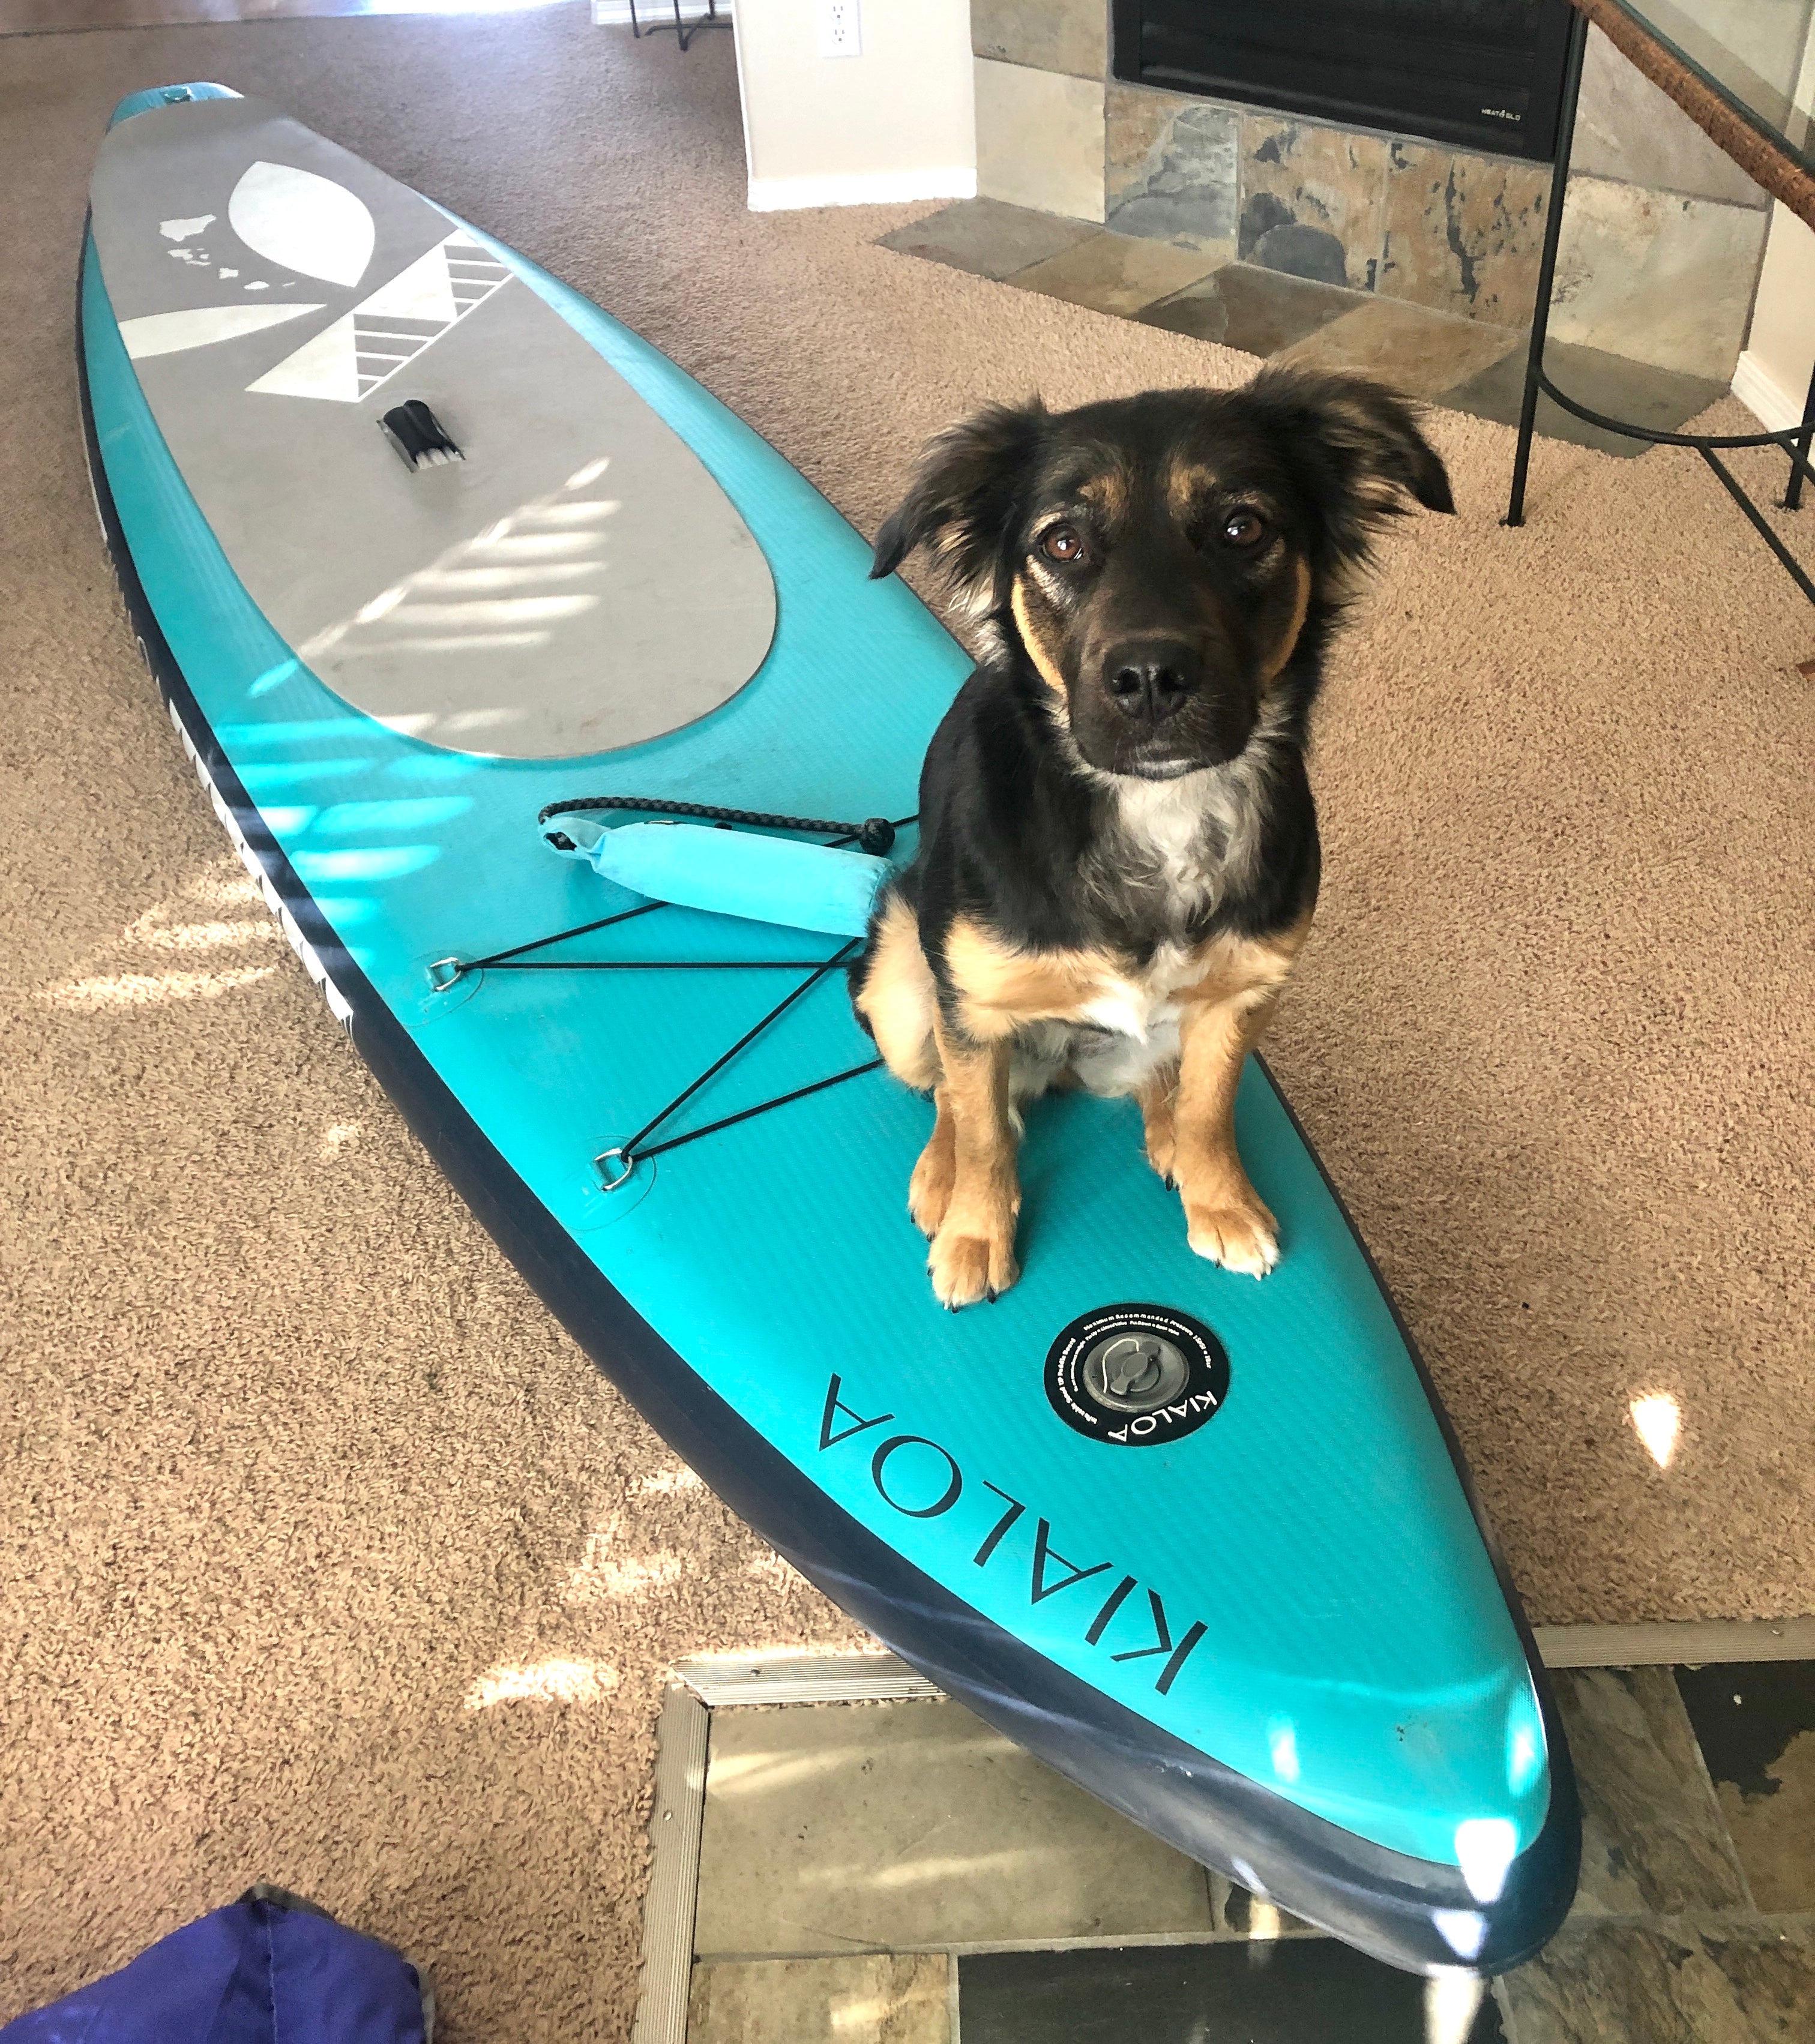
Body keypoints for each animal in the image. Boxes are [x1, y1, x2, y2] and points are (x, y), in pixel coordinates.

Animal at [842, 368, 1455, 1308]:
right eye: (1062, 543)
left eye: (1244, 527)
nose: (1152, 679)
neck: (1156, 809)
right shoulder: (971, 1004)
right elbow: (983, 1124)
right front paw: (976, 1230)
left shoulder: (1246, 993)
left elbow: (1210, 1105)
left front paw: (1220, 1198)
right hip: (903, 986)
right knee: (946, 1087)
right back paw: (940, 1173)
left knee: (1160, 1078)